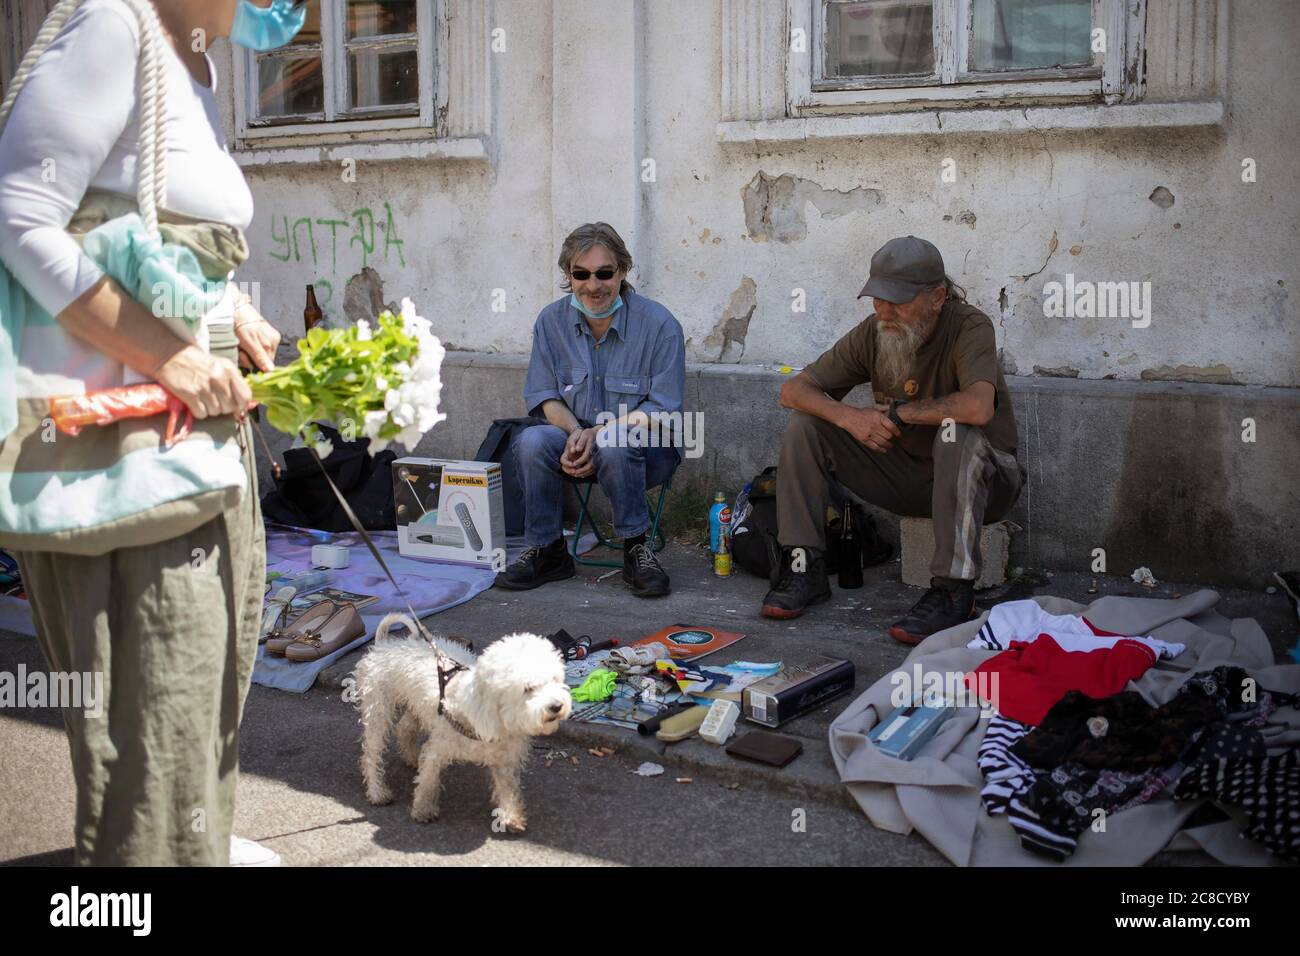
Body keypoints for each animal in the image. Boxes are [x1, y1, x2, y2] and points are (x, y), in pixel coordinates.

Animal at [353, 616, 572, 832]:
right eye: (528, 688)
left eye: (554, 680)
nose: (557, 706)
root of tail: (385, 645)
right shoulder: (437, 750)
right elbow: (428, 780)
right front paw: (423, 808)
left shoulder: (503, 760)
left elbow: (507, 788)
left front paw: (510, 815)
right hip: (378, 711)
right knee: (371, 755)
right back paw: (377, 791)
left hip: (415, 705)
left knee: (404, 728)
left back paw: (410, 757)